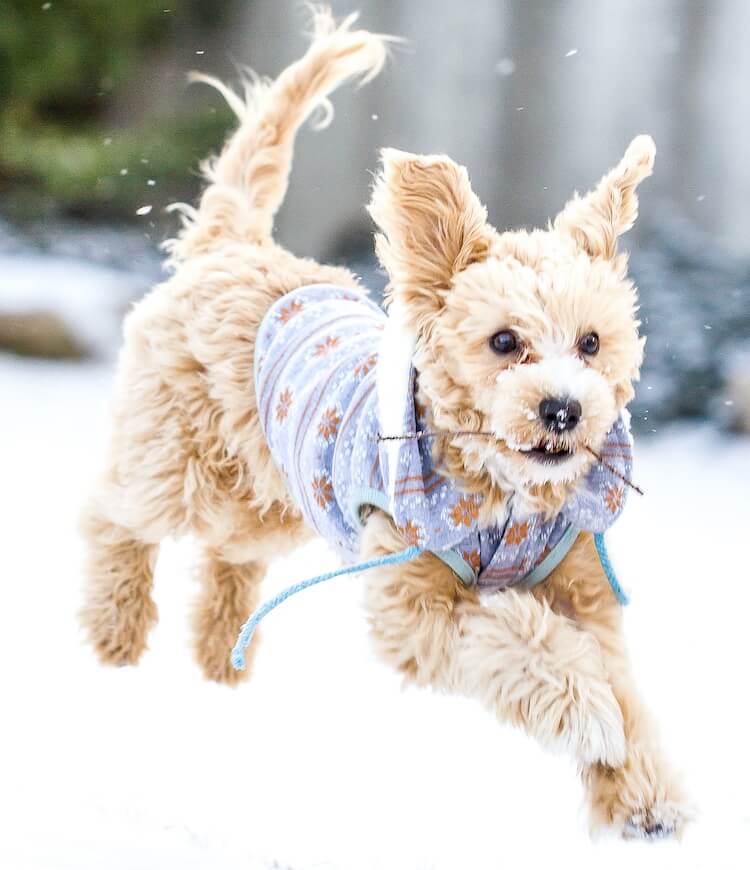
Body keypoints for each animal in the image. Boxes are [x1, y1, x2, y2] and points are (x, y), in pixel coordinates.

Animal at [81, 5, 692, 836]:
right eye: (505, 342)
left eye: (592, 343)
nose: (564, 409)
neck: (506, 497)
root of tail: (233, 245)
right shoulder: (416, 599)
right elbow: (519, 642)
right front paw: (590, 717)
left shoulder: (585, 592)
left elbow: (624, 690)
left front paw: (645, 796)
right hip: (181, 460)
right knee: (115, 513)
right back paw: (114, 630)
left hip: (276, 495)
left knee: (230, 554)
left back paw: (218, 652)